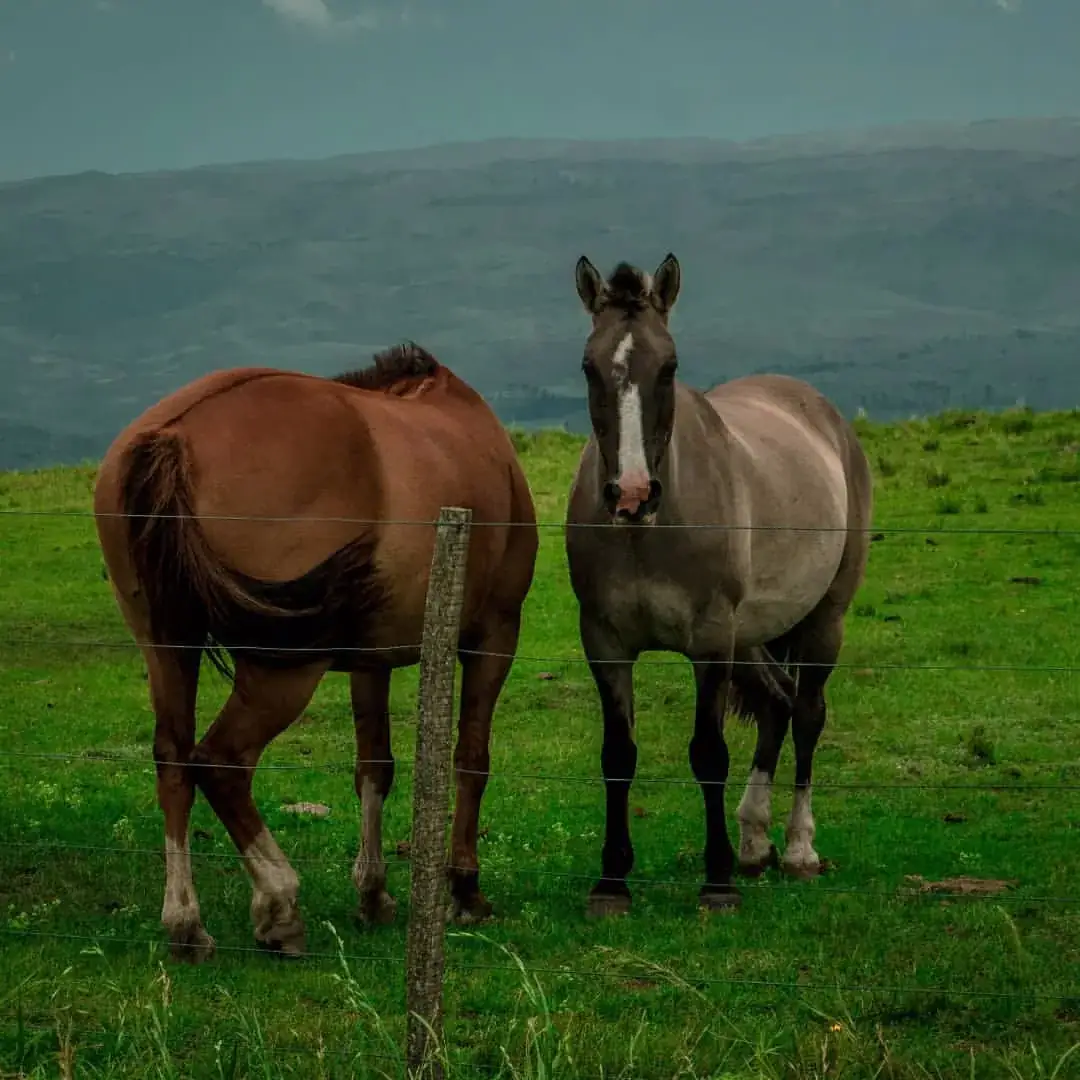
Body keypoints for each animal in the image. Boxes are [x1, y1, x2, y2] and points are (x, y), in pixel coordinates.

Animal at [93, 343, 538, 961]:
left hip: (167, 647)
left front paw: (373, 894)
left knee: (174, 759)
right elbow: (471, 760)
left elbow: (374, 767)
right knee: (222, 763)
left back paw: (187, 924)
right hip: (284, 670)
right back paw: (278, 904)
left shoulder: (372, 659)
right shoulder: (494, 636)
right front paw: (465, 890)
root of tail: (172, 436)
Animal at [564, 254, 873, 916]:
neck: (649, 532)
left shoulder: (709, 642)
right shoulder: (604, 642)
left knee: (808, 712)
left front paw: (717, 881)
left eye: (670, 365)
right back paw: (754, 842)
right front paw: (612, 882)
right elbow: (617, 756)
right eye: (588, 365)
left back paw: (798, 849)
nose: (632, 493)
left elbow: (708, 753)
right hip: (751, 636)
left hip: (822, 619)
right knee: (778, 704)